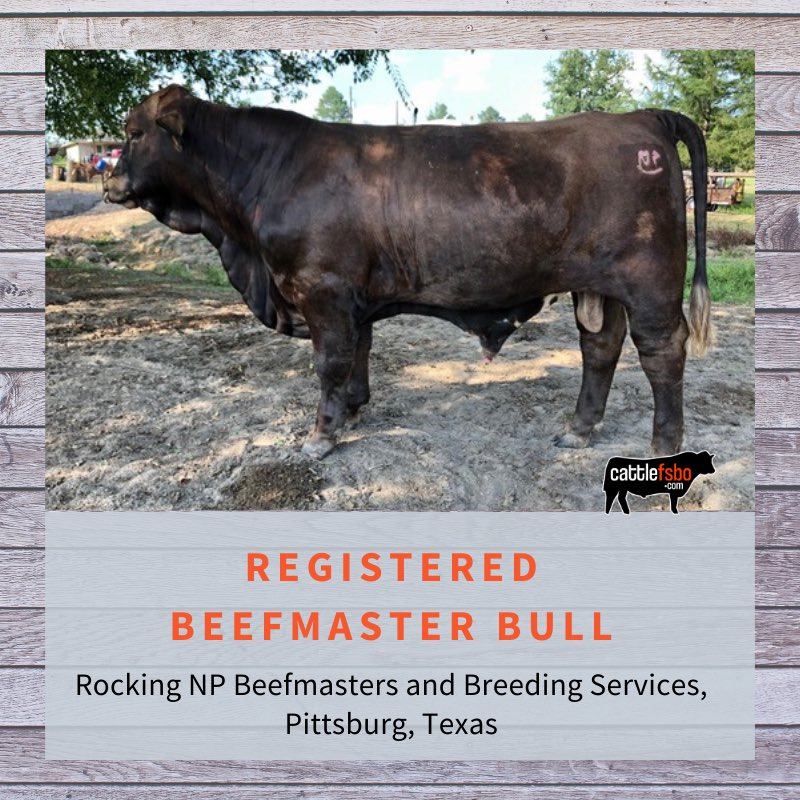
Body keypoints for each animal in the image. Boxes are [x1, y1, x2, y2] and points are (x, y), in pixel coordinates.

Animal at [104, 84, 710, 460]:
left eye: (133, 132)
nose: (109, 181)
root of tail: (642, 116)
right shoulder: (350, 298)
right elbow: (358, 353)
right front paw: (351, 412)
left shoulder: (321, 288)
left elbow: (329, 363)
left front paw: (320, 436)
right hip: (597, 285)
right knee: (600, 348)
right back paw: (578, 430)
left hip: (651, 283)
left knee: (661, 352)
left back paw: (663, 445)